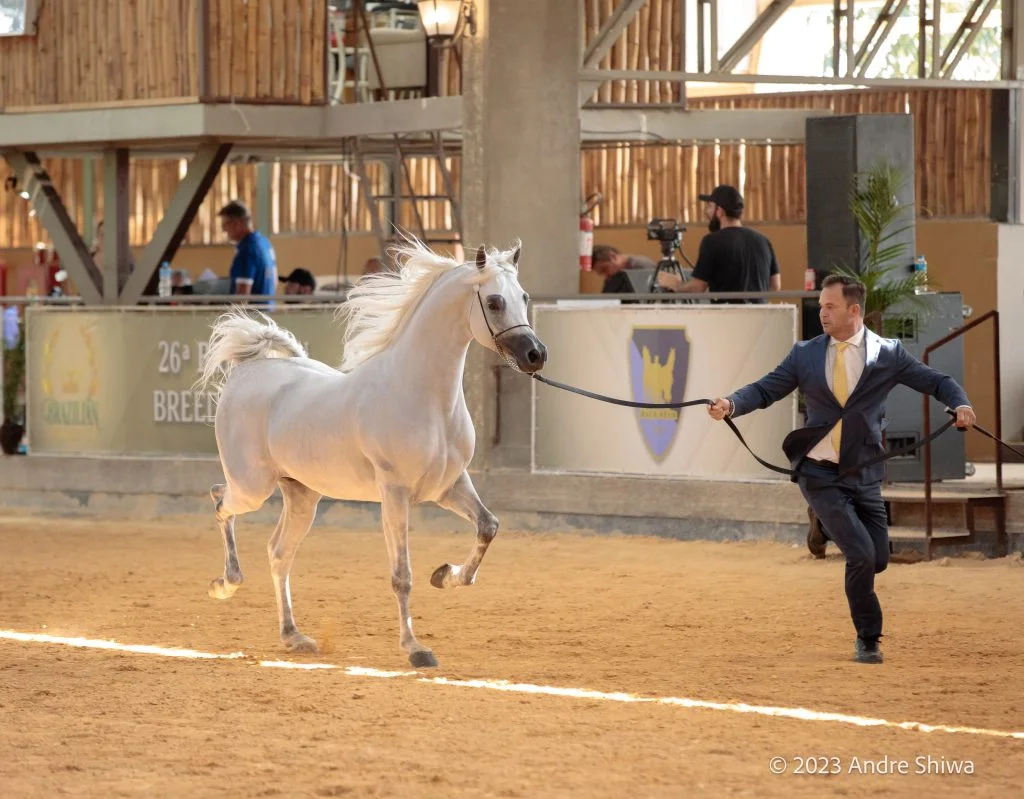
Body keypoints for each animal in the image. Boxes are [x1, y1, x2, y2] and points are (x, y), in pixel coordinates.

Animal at [195, 240, 547, 668]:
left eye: (524, 297)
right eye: (495, 302)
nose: (536, 356)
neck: (423, 396)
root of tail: (248, 373)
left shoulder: (449, 486)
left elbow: (487, 527)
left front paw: (444, 575)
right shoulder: (394, 494)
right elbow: (401, 574)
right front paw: (416, 649)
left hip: (301, 496)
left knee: (278, 553)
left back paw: (294, 636)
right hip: (252, 487)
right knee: (219, 499)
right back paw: (225, 584)